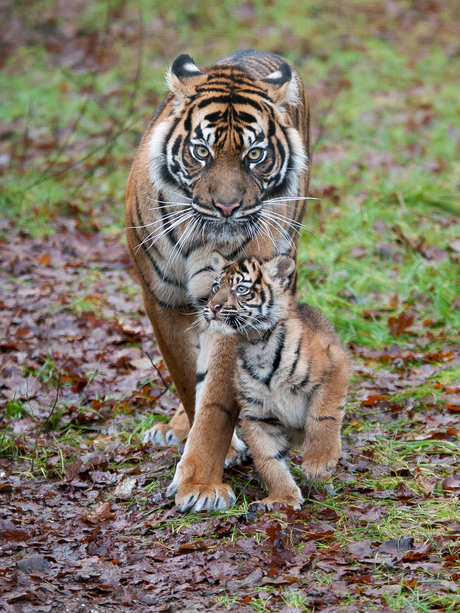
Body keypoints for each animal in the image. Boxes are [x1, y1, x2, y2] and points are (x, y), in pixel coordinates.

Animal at [126, 49, 310, 512]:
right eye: (201, 151)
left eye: (255, 155)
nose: (227, 207)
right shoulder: (163, 298)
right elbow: (185, 374)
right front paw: (217, 456)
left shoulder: (236, 308)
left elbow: (216, 400)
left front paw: (200, 484)